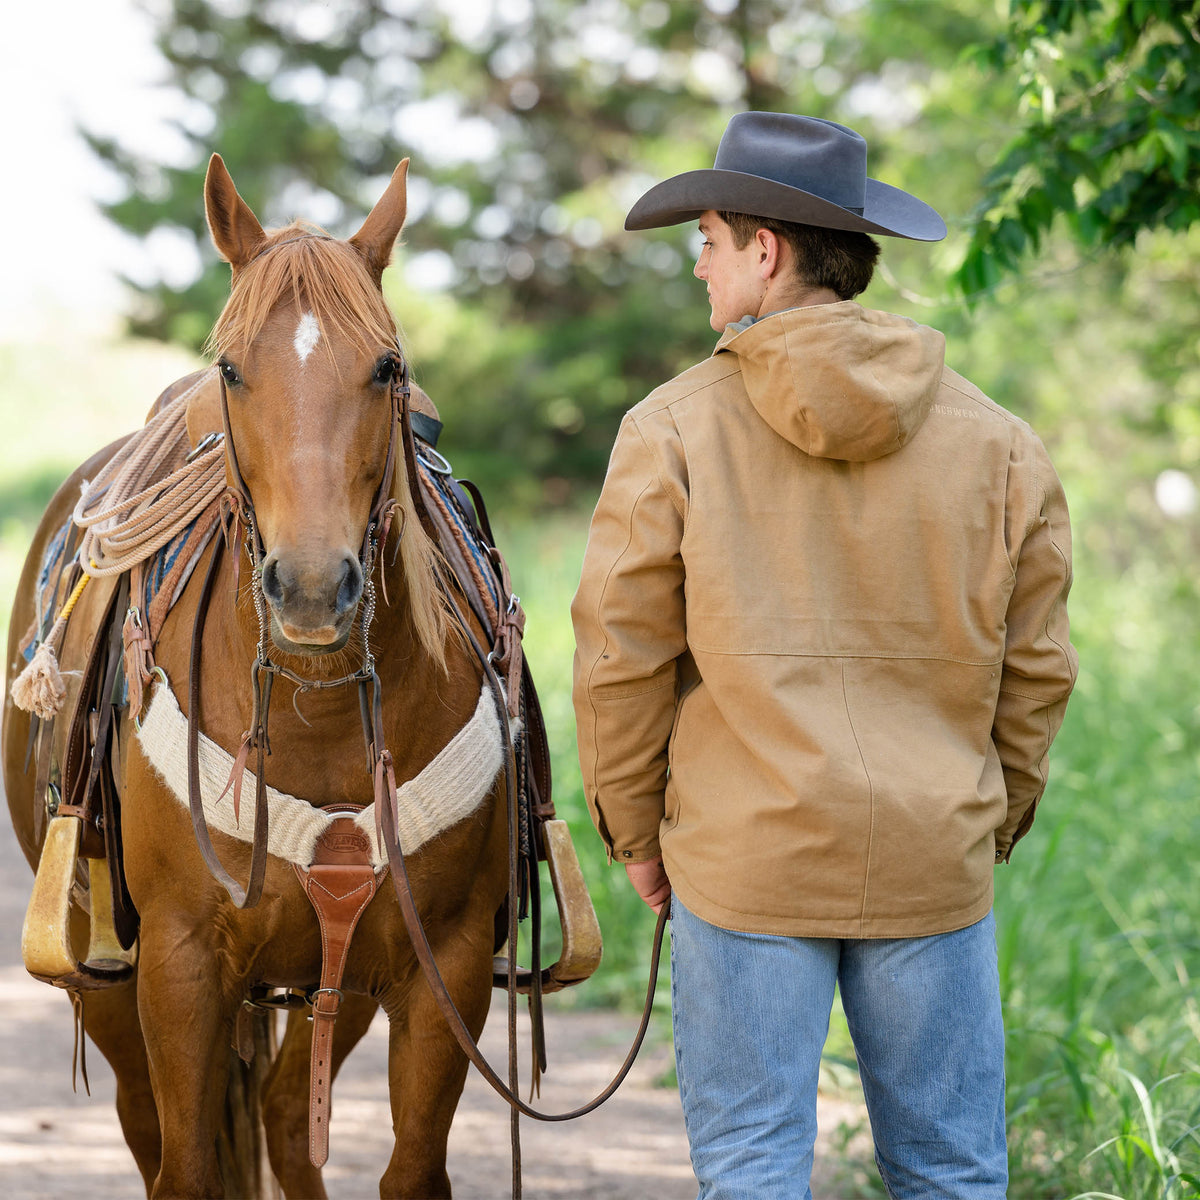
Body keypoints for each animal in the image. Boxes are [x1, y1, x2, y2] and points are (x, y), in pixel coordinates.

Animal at [3, 154, 515, 1198]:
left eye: (388, 367)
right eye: (235, 368)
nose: (313, 587)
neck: (319, 707)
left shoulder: (442, 965)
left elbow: (411, 1168)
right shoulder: (178, 967)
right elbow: (189, 1167)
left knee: (283, 1111)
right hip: (110, 980)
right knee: (158, 1130)